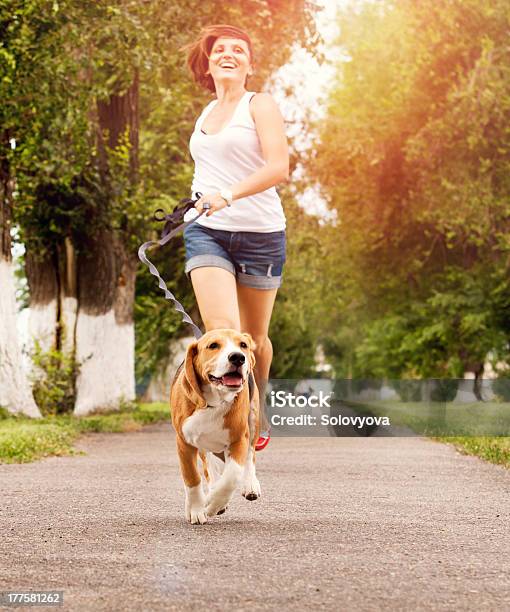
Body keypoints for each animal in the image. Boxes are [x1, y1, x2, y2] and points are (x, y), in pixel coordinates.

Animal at [170, 328, 260, 524]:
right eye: (213, 346)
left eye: (243, 345)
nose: (238, 357)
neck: (214, 401)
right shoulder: (183, 442)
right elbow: (192, 478)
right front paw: (196, 509)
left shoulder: (238, 439)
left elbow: (231, 477)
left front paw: (212, 504)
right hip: (203, 443)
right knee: (208, 466)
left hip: (253, 419)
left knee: (250, 455)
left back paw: (250, 485)